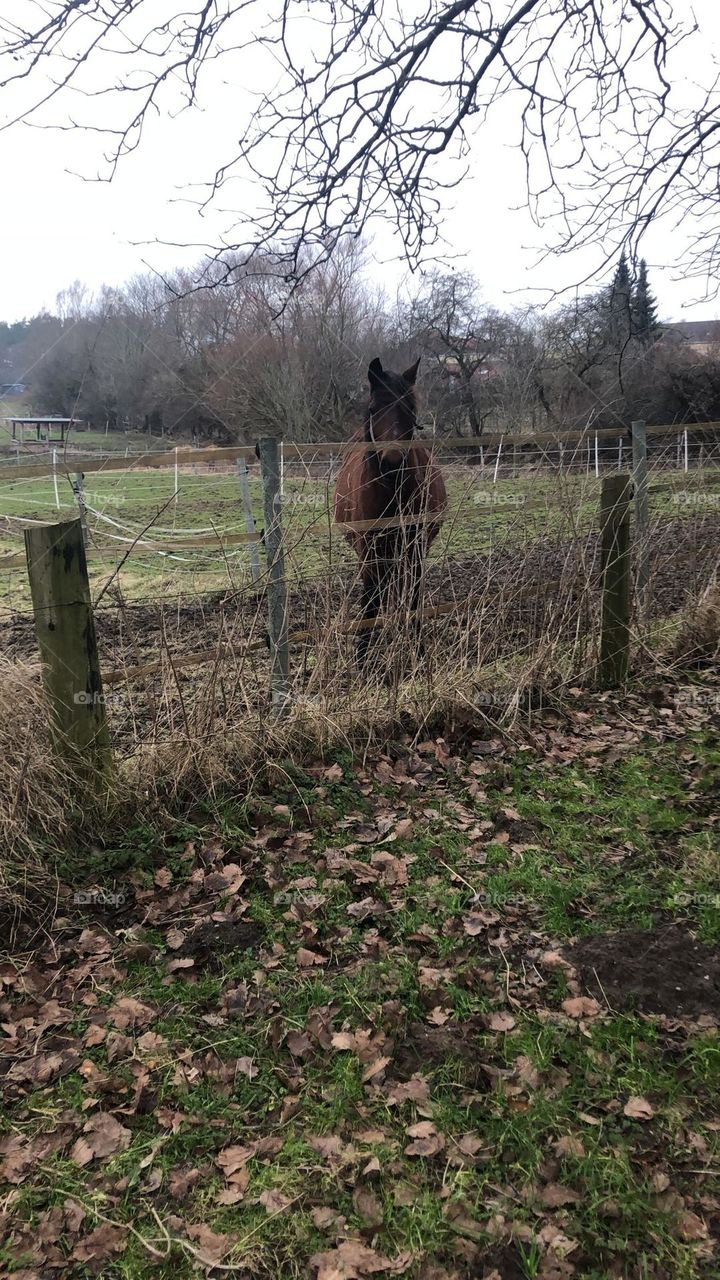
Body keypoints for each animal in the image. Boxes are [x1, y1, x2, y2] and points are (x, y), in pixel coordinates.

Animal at [334, 356, 447, 662]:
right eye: (374, 408)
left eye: (410, 408)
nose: (392, 462)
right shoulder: (368, 550)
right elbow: (370, 601)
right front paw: (362, 657)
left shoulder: (416, 546)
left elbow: (414, 597)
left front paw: (418, 650)